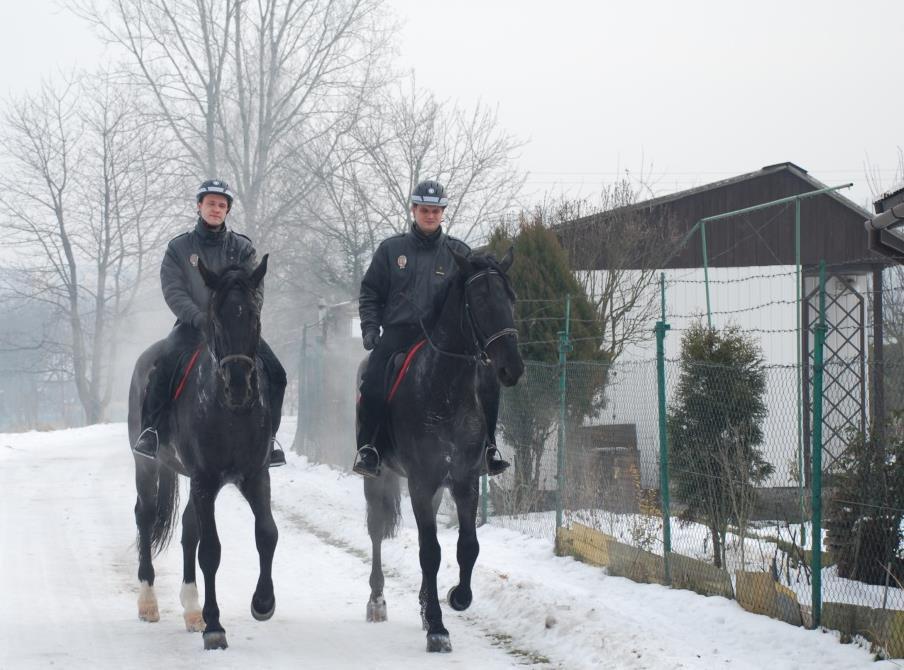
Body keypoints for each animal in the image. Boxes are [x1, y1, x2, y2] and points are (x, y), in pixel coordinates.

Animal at [127, 256, 276, 652]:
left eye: (254, 316)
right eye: (216, 319)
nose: (238, 385)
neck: (230, 412)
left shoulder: (255, 475)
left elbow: (267, 534)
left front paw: (263, 603)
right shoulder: (206, 479)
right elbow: (211, 550)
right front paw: (215, 628)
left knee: (188, 530)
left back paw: (192, 609)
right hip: (146, 465)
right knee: (145, 516)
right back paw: (148, 602)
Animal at [364, 249, 528, 652]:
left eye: (512, 299)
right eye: (480, 300)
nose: (512, 368)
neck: (444, 387)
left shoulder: (464, 481)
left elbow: (467, 546)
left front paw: (457, 598)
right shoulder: (421, 483)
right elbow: (430, 552)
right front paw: (438, 628)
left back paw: (425, 606)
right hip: (379, 477)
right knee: (376, 530)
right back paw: (377, 601)